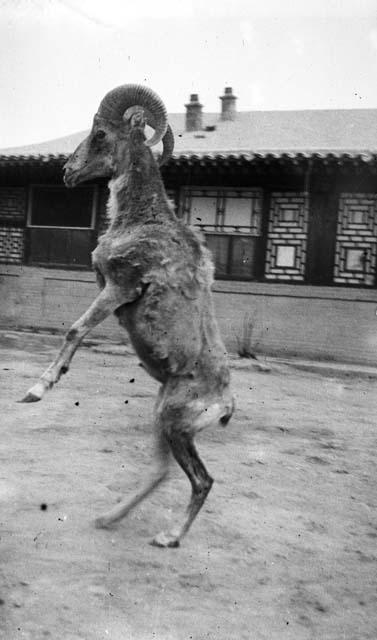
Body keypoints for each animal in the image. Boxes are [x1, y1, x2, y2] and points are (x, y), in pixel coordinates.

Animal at [20, 82, 234, 548]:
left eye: (101, 133)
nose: (67, 172)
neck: (142, 221)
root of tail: (224, 406)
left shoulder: (120, 288)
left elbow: (74, 330)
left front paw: (36, 391)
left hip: (175, 426)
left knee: (202, 481)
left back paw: (169, 537)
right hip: (161, 422)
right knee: (161, 473)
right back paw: (108, 518)